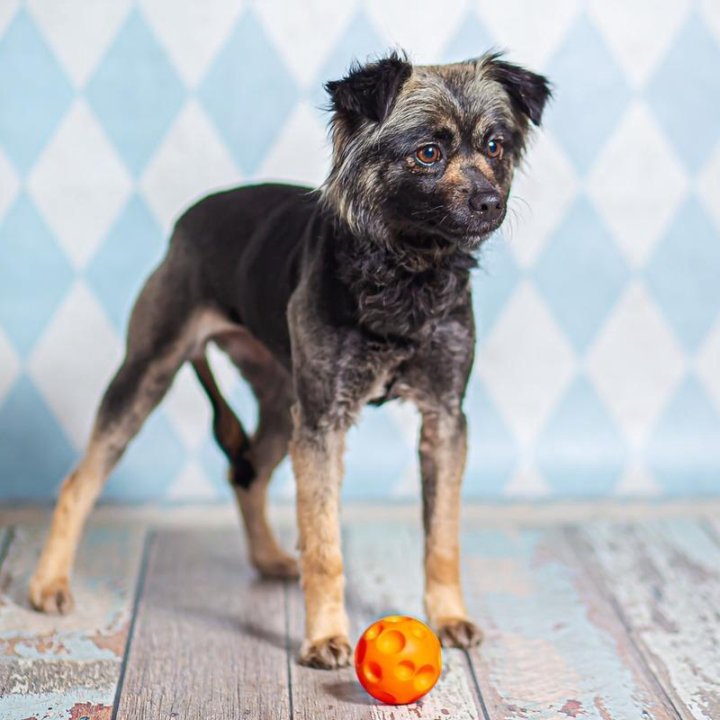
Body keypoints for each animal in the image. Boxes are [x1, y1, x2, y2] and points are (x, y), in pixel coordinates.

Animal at [26, 49, 544, 668]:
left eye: (495, 146)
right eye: (428, 153)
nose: (492, 202)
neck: (407, 268)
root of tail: (186, 224)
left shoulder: (442, 418)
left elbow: (442, 535)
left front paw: (448, 616)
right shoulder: (322, 423)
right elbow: (324, 541)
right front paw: (324, 636)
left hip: (280, 403)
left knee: (247, 475)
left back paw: (269, 558)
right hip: (149, 373)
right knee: (80, 482)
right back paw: (49, 584)